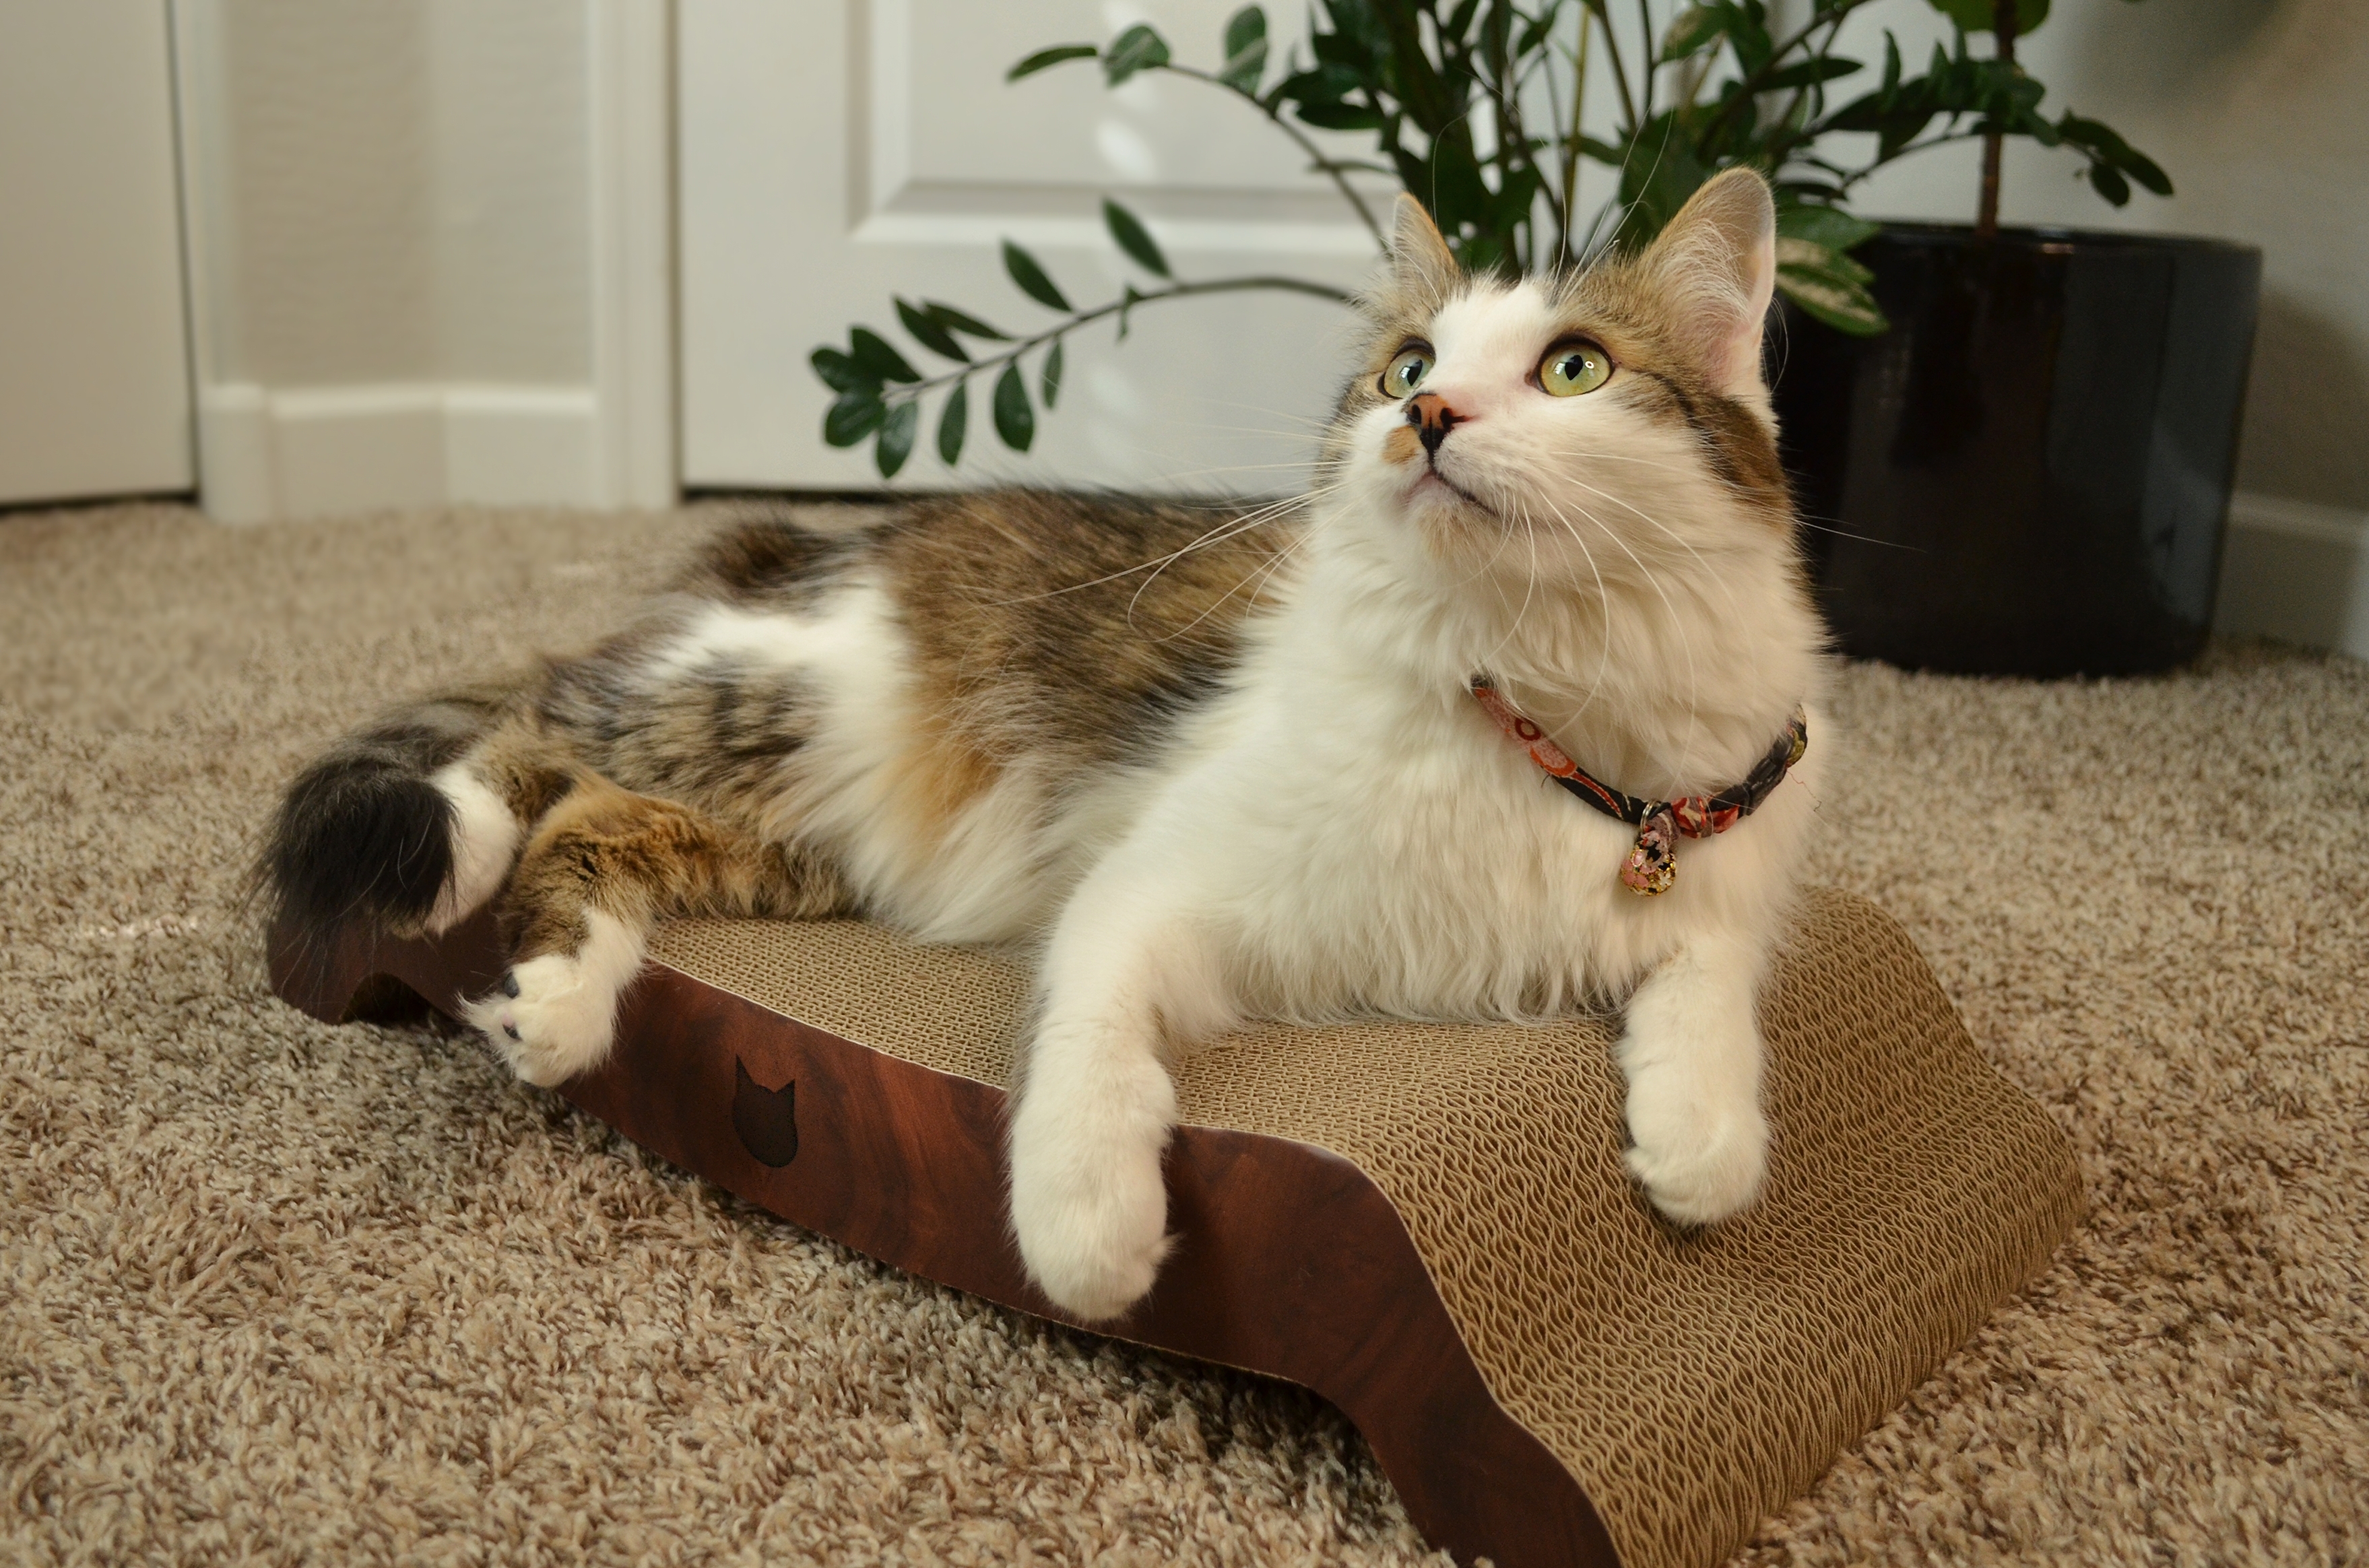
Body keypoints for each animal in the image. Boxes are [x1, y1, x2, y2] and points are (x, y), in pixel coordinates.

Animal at [272, 171, 1829, 1326]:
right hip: (761, 704)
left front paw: (1697, 1147)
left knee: (585, 817)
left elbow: (1707, 990)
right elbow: (1090, 1057)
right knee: (524, 735)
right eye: (1406, 368)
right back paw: (473, 884)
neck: (1516, 691)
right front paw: (1092, 1233)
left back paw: (557, 1008)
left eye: (1573, 368)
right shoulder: (1151, 882)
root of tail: (794, 545)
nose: (1425, 418)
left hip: (788, 841)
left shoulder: (1715, 853)